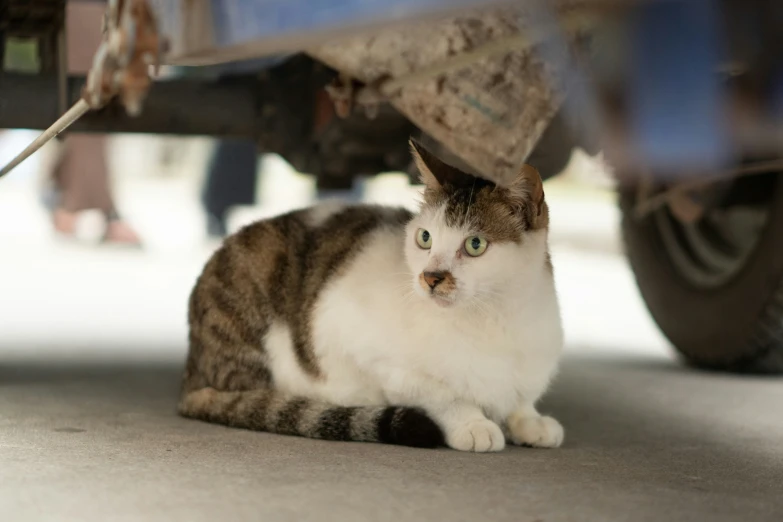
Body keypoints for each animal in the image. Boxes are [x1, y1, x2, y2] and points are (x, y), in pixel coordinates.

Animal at [179, 139, 564, 450]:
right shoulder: (372, 357)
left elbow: (519, 399)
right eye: (425, 238)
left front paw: (529, 421)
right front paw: (473, 424)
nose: (430, 277)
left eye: (475, 245)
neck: (494, 318)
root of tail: (191, 367)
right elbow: (443, 395)